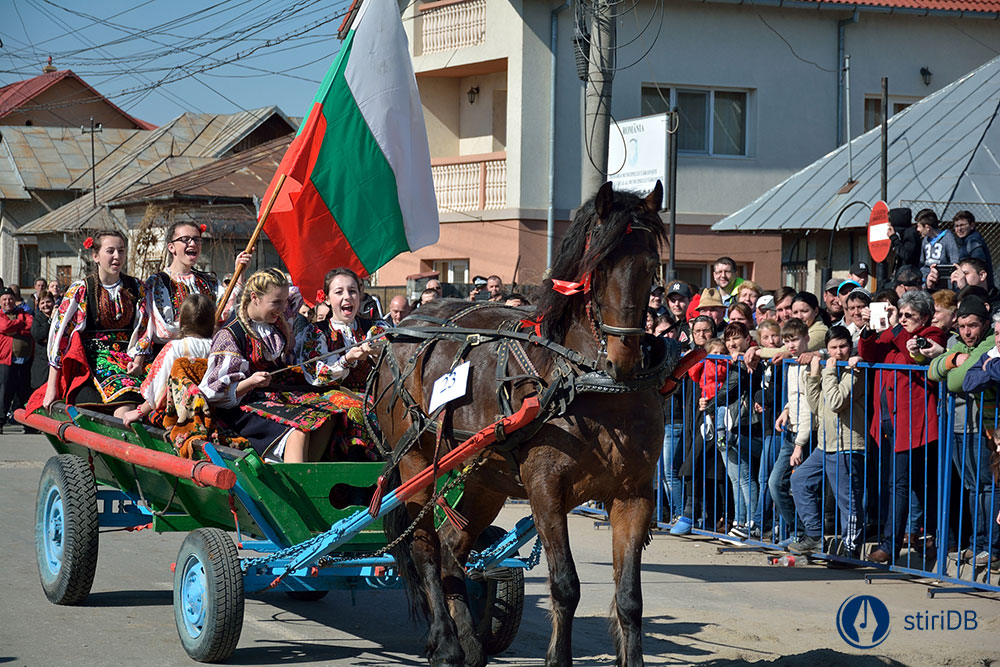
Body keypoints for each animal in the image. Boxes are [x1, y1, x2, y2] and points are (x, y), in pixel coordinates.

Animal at [372, 183, 684, 667]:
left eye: (652, 265)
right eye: (599, 265)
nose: (624, 358)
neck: (588, 381)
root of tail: (402, 326)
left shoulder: (634, 495)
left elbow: (630, 598)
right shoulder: (546, 490)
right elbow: (566, 585)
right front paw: (558, 658)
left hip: (484, 479)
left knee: (452, 550)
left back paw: (471, 643)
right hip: (416, 462)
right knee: (426, 546)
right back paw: (445, 642)